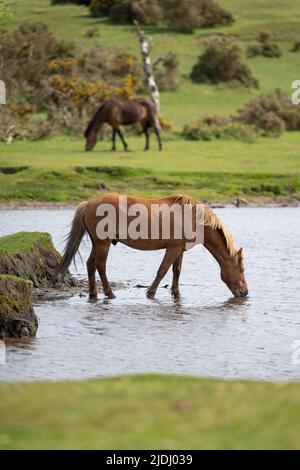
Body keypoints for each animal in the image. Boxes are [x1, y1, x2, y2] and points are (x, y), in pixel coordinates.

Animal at [56, 193, 248, 300]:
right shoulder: (172, 249)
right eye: (243, 269)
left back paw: (93, 294)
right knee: (100, 266)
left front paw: (176, 294)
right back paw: (109, 293)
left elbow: (176, 271)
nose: (245, 292)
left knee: (90, 265)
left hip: (97, 243)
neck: (193, 217)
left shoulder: (180, 250)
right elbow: (162, 270)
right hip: (103, 244)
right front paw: (151, 292)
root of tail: (88, 203)